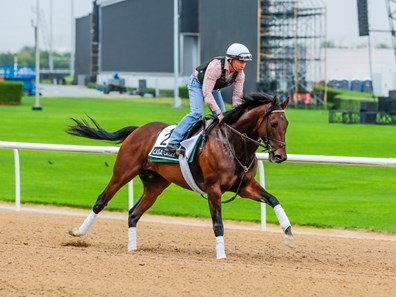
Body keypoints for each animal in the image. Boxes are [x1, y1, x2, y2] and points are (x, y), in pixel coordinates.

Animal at [66, 92, 292, 256]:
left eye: (287, 124)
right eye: (273, 123)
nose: (280, 156)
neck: (232, 144)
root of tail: (138, 129)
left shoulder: (244, 186)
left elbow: (273, 199)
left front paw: (288, 234)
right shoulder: (214, 189)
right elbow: (218, 223)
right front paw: (221, 255)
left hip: (155, 185)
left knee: (133, 213)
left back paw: (132, 248)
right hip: (123, 172)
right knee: (101, 201)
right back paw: (78, 232)